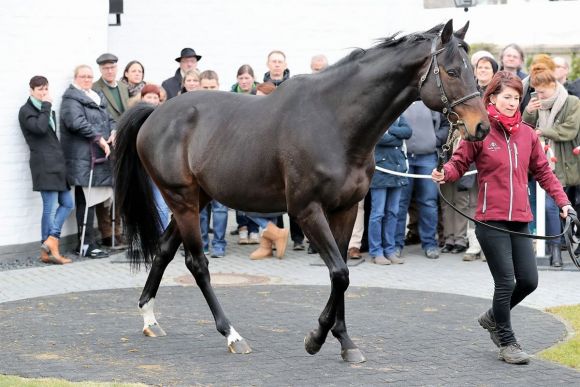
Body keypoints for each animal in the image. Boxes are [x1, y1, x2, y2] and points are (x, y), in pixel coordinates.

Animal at [114, 18, 490, 364]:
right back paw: (232, 335)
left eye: (474, 72)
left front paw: (343, 341)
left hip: (195, 199)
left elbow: (342, 273)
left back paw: (150, 318)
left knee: (164, 250)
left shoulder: (346, 209)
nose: (482, 127)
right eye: (452, 71)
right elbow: (339, 272)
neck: (334, 121)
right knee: (197, 263)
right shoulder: (306, 210)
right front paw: (317, 337)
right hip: (183, 201)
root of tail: (155, 113)